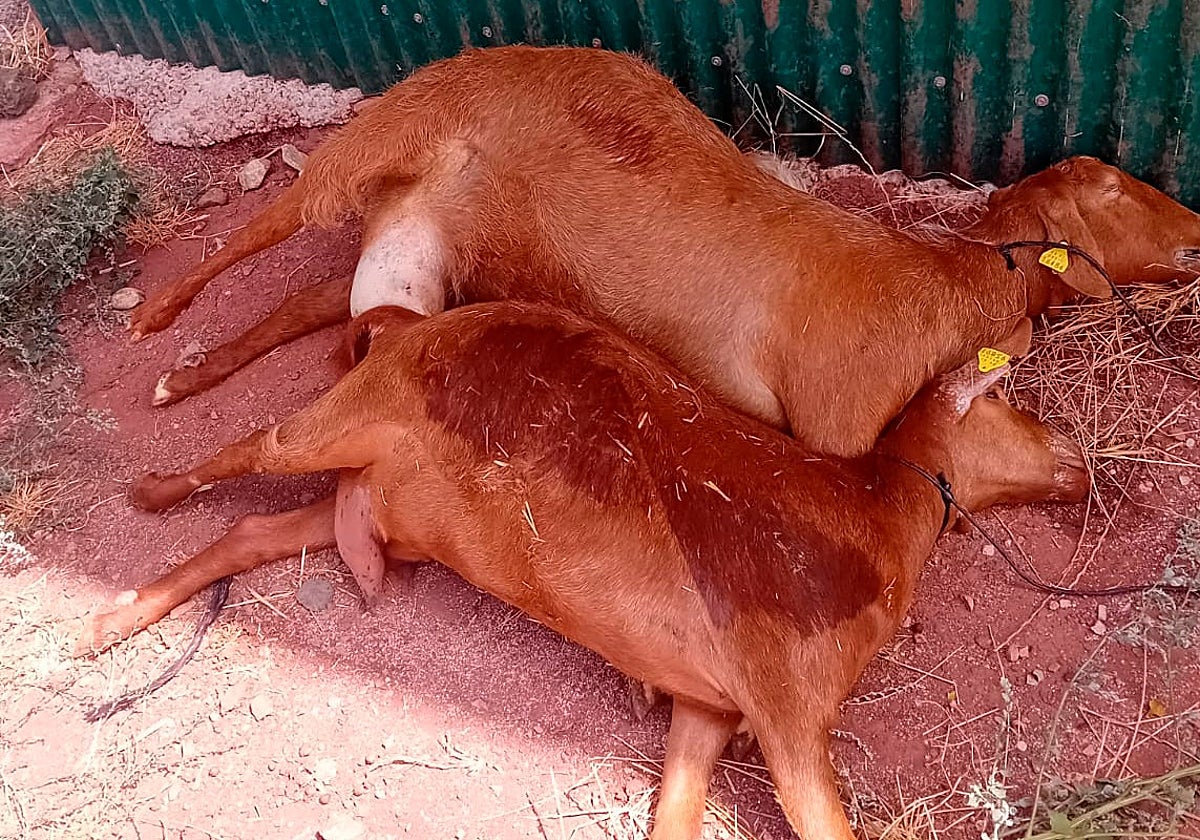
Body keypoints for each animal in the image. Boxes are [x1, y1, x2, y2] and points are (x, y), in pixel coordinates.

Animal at [81, 301, 1088, 839]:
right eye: (1019, 408)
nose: (1083, 462)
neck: (877, 519)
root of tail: (413, 320)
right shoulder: (789, 710)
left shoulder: (709, 707)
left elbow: (675, 815)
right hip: (348, 413)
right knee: (251, 448)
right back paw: (148, 497)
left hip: (391, 510)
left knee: (257, 527)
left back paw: (111, 622)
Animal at [131, 47, 1200, 458]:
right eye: (1111, 186)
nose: (1194, 231)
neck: (953, 278)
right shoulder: (836, 423)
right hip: (382, 133)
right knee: (259, 233)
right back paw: (155, 318)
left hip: (424, 264)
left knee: (300, 309)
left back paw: (186, 377)